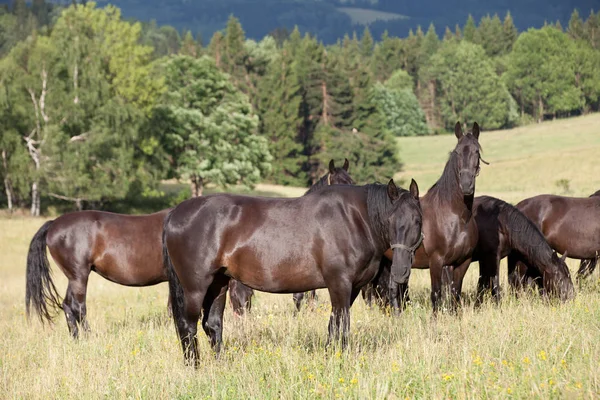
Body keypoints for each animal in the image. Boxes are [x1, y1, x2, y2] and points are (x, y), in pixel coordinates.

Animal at [25, 159, 354, 334]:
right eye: (339, 181)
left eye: (353, 180)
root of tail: (54, 223)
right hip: (79, 275)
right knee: (75, 306)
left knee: (70, 307)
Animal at [162, 181, 420, 366]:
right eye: (391, 219)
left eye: (417, 220)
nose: (400, 271)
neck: (353, 219)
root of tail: (175, 213)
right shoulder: (340, 283)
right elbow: (343, 325)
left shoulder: (353, 288)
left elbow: (334, 324)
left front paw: (330, 356)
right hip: (195, 287)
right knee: (188, 326)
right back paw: (194, 366)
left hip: (219, 284)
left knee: (213, 324)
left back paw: (221, 365)